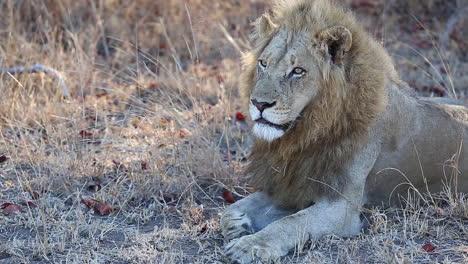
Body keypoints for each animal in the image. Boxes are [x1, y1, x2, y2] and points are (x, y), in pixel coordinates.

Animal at [220, 0, 468, 262]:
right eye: (263, 64)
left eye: (298, 71)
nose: (259, 103)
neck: (308, 132)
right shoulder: (292, 184)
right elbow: (230, 211)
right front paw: (240, 224)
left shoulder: (342, 207)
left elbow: (291, 223)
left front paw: (251, 245)